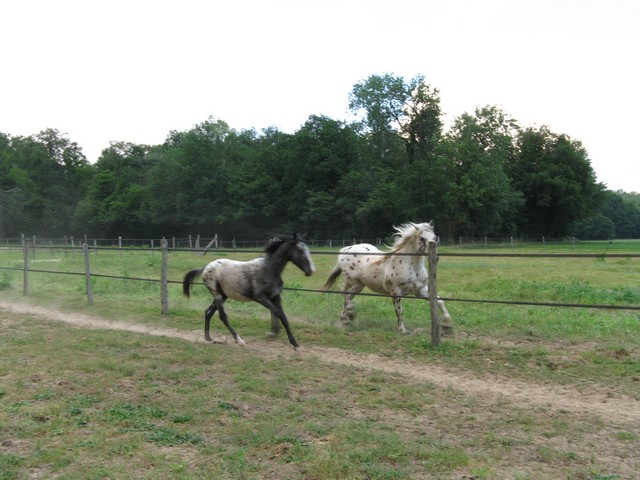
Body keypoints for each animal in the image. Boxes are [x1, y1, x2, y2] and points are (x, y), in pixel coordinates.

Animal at [183, 233, 315, 350]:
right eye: (300, 250)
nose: (311, 271)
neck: (268, 270)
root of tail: (205, 268)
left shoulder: (275, 297)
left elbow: (284, 318)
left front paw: (295, 344)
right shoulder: (261, 298)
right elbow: (279, 313)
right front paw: (275, 333)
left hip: (223, 295)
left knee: (208, 312)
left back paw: (209, 338)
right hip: (217, 294)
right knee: (222, 316)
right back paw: (240, 341)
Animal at [323, 221, 453, 335]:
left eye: (435, 238)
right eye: (421, 238)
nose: (435, 258)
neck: (411, 266)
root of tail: (345, 249)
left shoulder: (421, 290)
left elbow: (440, 301)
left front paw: (447, 326)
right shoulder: (395, 291)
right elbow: (399, 310)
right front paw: (402, 330)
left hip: (359, 285)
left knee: (347, 297)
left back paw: (345, 318)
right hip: (352, 281)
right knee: (344, 293)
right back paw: (349, 315)